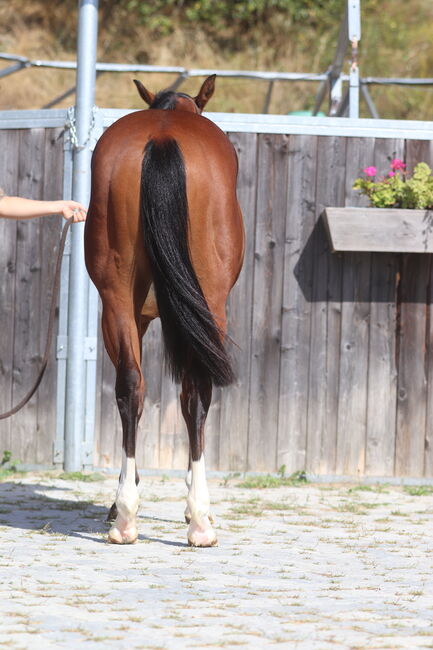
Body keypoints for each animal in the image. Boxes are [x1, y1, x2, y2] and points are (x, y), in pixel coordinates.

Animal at [84, 73, 243, 544]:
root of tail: (162, 138)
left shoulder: (131, 315)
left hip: (117, 299)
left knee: (131, 386)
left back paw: (125, 519)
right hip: (210, 301)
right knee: (197, 391)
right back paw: (200, 520)